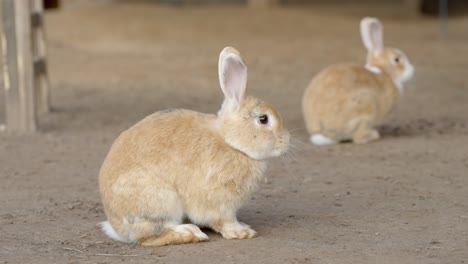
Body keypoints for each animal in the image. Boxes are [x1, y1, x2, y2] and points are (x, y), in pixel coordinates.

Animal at [98, 46, 288, 246]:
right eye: (263, 119)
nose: (286, 141)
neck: (230, 142)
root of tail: (117, 227)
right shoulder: (219, 204)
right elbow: (225, 221)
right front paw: (242, 232)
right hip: (162, 201)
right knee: (149, 236)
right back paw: (189, 233)